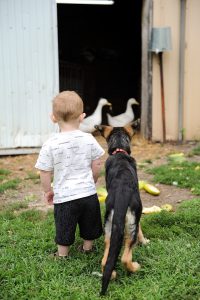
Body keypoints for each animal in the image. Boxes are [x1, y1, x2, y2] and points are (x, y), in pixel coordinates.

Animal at [95, 121, 148, 296]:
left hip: (108, 227)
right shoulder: (137, 214)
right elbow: (141, 228)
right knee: (126, 256)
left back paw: (112, 274)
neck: (119, 151)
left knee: (105, 260)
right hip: (131, 223)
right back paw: (135, 268)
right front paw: (145, 241)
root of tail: (121, 196)